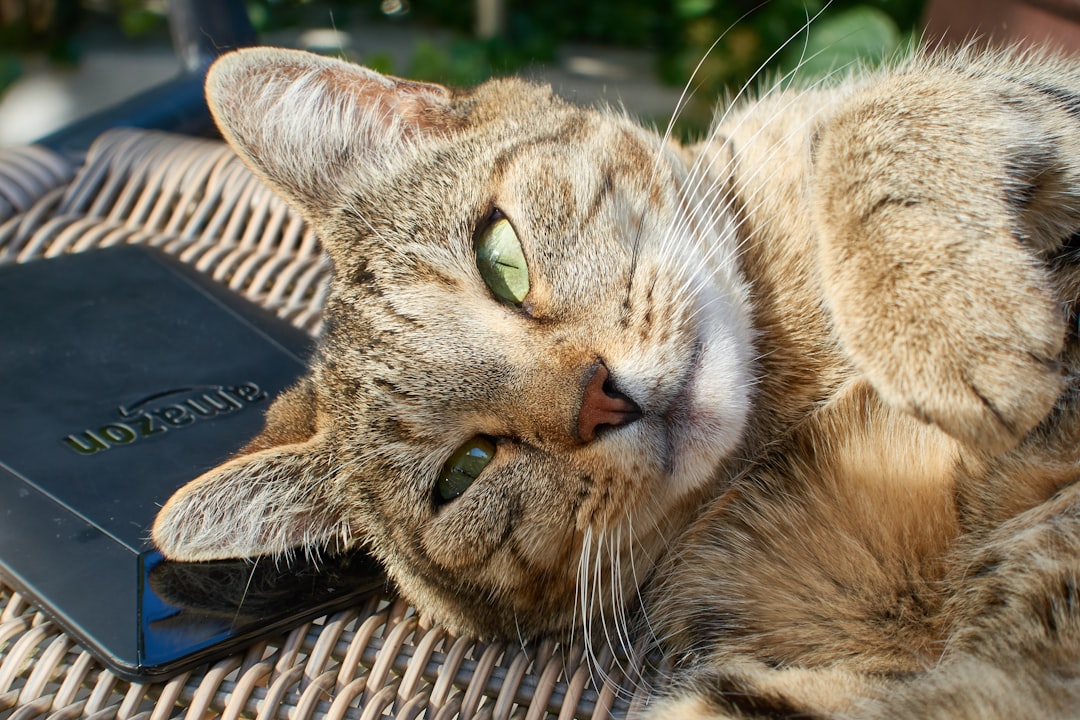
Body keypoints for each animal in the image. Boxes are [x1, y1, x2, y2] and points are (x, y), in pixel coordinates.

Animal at [147, 42, 1080, 716]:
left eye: (501, 256)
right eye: (464, 473)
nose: (600, 398)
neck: (792, 385)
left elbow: (867, 116)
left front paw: (940, 315)